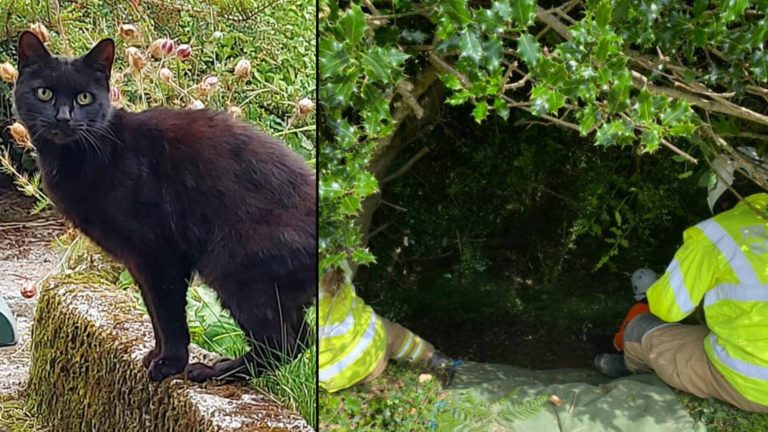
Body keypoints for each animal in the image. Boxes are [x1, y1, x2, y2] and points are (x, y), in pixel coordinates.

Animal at [13, 32, 316, 384]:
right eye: (44, 93)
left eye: (85, 98)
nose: (63, 117)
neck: (87, 155)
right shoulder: (138, 262)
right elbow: (155, 313)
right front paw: (154, 356)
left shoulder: (160, 254)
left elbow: (169, 315)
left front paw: (169, 364)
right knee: (302, 338)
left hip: (235, 270)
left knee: (283, 343)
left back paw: (217, 371)